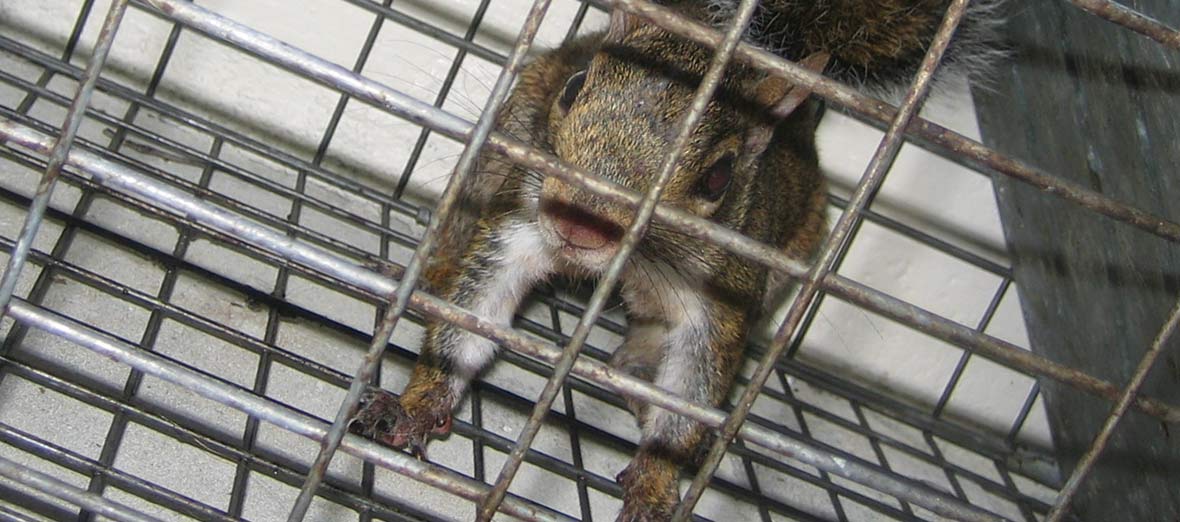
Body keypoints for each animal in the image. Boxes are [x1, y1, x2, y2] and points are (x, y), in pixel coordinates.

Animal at [349, 1, 1001, 520]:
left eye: (719, 175)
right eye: (575, 87)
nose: (578, 223)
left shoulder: (721, 299)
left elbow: (686, 394)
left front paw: (657, 486)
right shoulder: (520, 222)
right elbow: (471, 320)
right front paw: (416, 406)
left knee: (641, 349)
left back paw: (645, 379)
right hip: (499, 150)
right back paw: (425, 275)